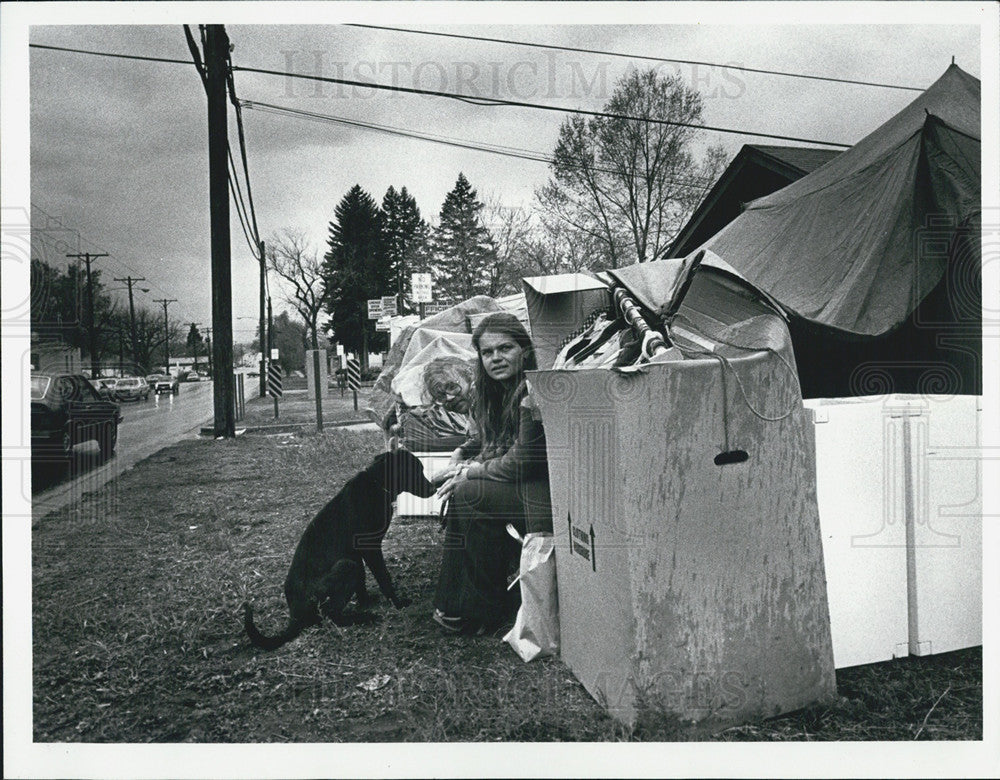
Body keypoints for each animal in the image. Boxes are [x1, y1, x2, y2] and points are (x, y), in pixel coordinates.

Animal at [244, 448, 436, 648]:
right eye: (414, 470)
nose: (434, 489)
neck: (376, 484)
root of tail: (294, 616)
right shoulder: (370, 548)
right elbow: (384, 578)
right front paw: (396, 603)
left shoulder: (356, 552)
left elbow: (362, 580)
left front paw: (365, 600)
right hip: (346, 566)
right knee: (331, 614)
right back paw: (363, 617)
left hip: (349, 563)